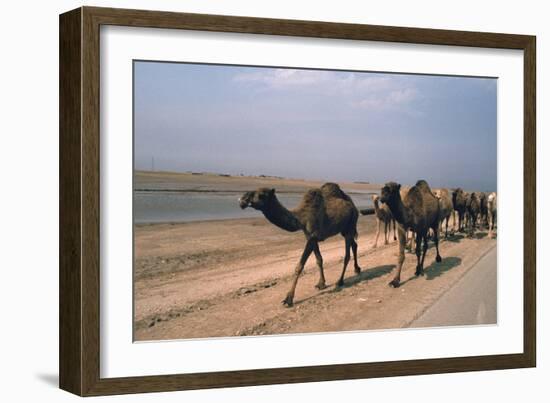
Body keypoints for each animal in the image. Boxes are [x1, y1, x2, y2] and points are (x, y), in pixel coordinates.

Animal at [239, 183, 374, 306]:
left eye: (261, 195)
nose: (242, 200)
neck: (301, 218)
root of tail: (354, 206)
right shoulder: (310, 237)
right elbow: (319, 259)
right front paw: (321, 283)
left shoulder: (312, 237)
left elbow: (299, 266)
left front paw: (288, 299)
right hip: (345, 229)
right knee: (354, 245)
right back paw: (357, 269)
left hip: (351, 224)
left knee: (347, 255)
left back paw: (340, 281)